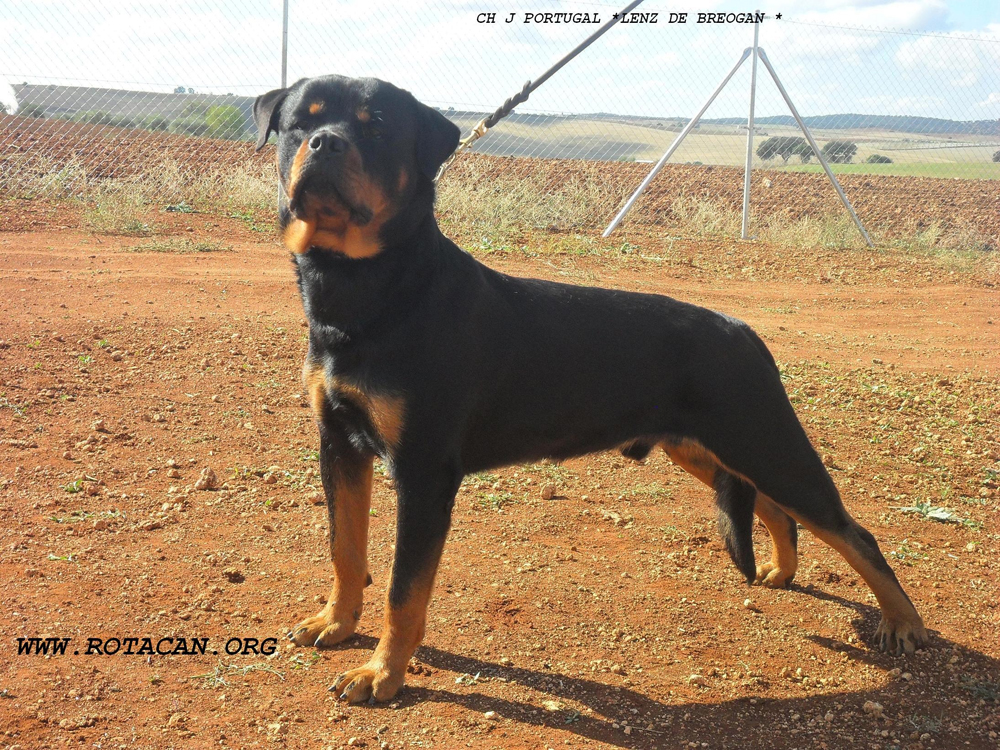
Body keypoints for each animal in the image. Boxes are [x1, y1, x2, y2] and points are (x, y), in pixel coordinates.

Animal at [252, 74, 928, 704]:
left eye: (376, 127)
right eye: (299, 122)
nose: (325, 142)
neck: (372, 289)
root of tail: (744, 330)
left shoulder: (424, 469)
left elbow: (402, 589)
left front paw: (382, 674)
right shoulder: (339, 442)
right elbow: (345, 549)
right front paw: (336, 622)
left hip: (765, 443)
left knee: (852, 533)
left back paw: (904, 623)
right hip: (703, 448)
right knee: (775, 509)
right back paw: (782, 573)